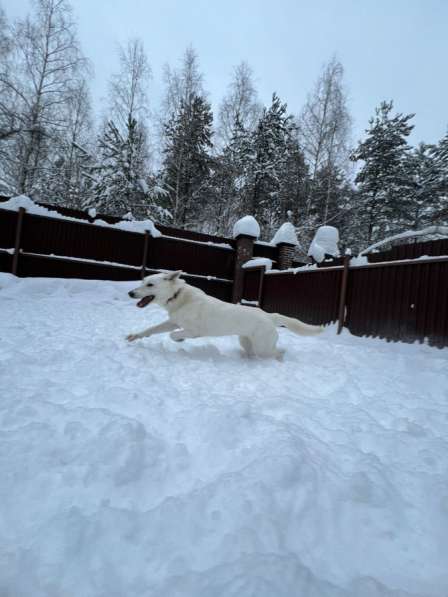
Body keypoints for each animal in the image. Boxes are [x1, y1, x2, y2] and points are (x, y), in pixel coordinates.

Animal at [126, 272, 322, 358]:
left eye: (150, 285)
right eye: (142, 282)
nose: (130, 292)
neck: (177, 296)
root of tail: (270, 316)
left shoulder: (194, 331)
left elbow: (173, 335)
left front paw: (180, 340)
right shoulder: (172, 322)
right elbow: (151, 329)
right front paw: (134, 336)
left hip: (263, 347)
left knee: (277, 353)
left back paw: (282, 356)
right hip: (246, 341)